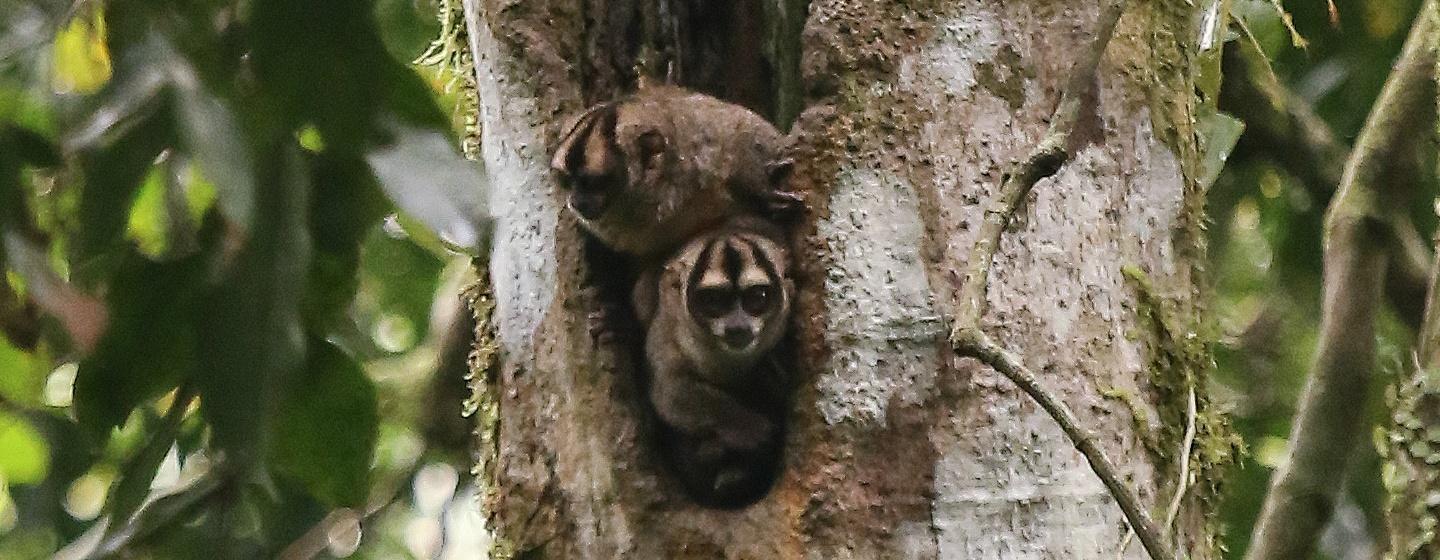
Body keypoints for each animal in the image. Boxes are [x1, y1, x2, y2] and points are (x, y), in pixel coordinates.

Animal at [547, 86, 800, 257]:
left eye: (592, 182)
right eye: (567, 181)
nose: (576, 200)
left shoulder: (702, 145)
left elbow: (740, 130)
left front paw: (762, 190)